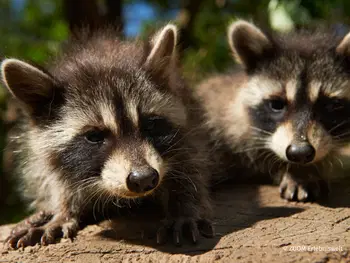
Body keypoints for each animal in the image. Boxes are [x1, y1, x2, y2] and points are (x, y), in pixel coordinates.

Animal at [1, 24, 213, 250]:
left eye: (150, 124)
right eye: (94, 136)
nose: (144, 178)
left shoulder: (191, 128)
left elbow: (191, 167)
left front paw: (184, 206)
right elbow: (58, 178)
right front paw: (64, 211)